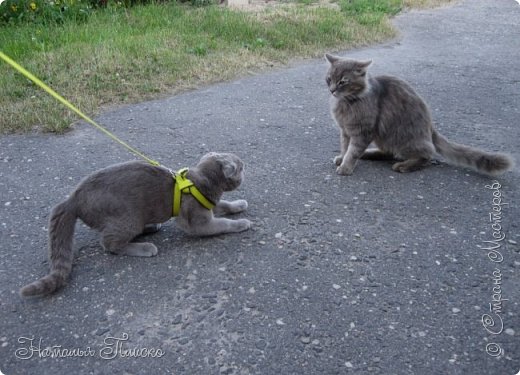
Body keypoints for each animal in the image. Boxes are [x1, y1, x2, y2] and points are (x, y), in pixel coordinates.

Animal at [21, 151, 253, 298]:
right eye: (241, 167)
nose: (247, 168)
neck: (199, 181)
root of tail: (73, 198)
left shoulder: (210, 203)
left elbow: (224, 205)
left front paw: (239, 204)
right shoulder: (196, 221)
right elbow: (222, 224)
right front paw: (241, 223)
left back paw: (151, 227)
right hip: (126, 218)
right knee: (109, 243)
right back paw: (144, 247)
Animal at [324, 54, 512, 176]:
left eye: (343, 82)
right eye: (329, 79)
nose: (332, 90)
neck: (346, 103)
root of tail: (431, 127)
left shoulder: (362, 132)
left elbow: (353, 150)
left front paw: (346, 167)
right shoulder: (345, 131)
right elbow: (345, 147)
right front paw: (342, 158)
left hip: (403, 138)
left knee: (427, 155)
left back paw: (403, 165)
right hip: (386, 137)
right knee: (389, 152)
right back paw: (369, 154)